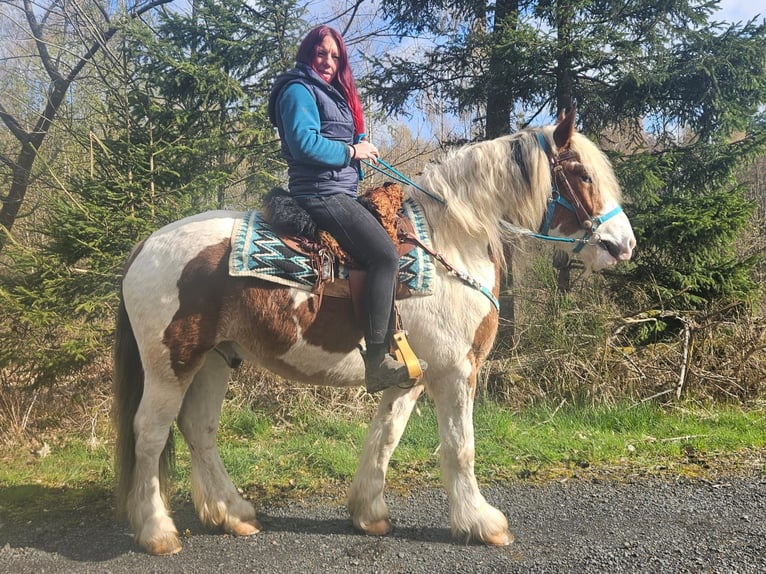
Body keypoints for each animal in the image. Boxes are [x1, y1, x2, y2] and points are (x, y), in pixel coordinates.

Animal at [113, 108, 635, 555]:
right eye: (583, 174)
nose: (623, 245)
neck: (451, 239)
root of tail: (146, 245)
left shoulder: (412, 374)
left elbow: (386, 435)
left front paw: (368, 512)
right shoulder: (455, 369)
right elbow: (459, 446)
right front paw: (481, 522)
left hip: (214, 360)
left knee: (198, 429)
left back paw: (233, 513)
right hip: (171, 364)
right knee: (150, 434)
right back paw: (157, 531)